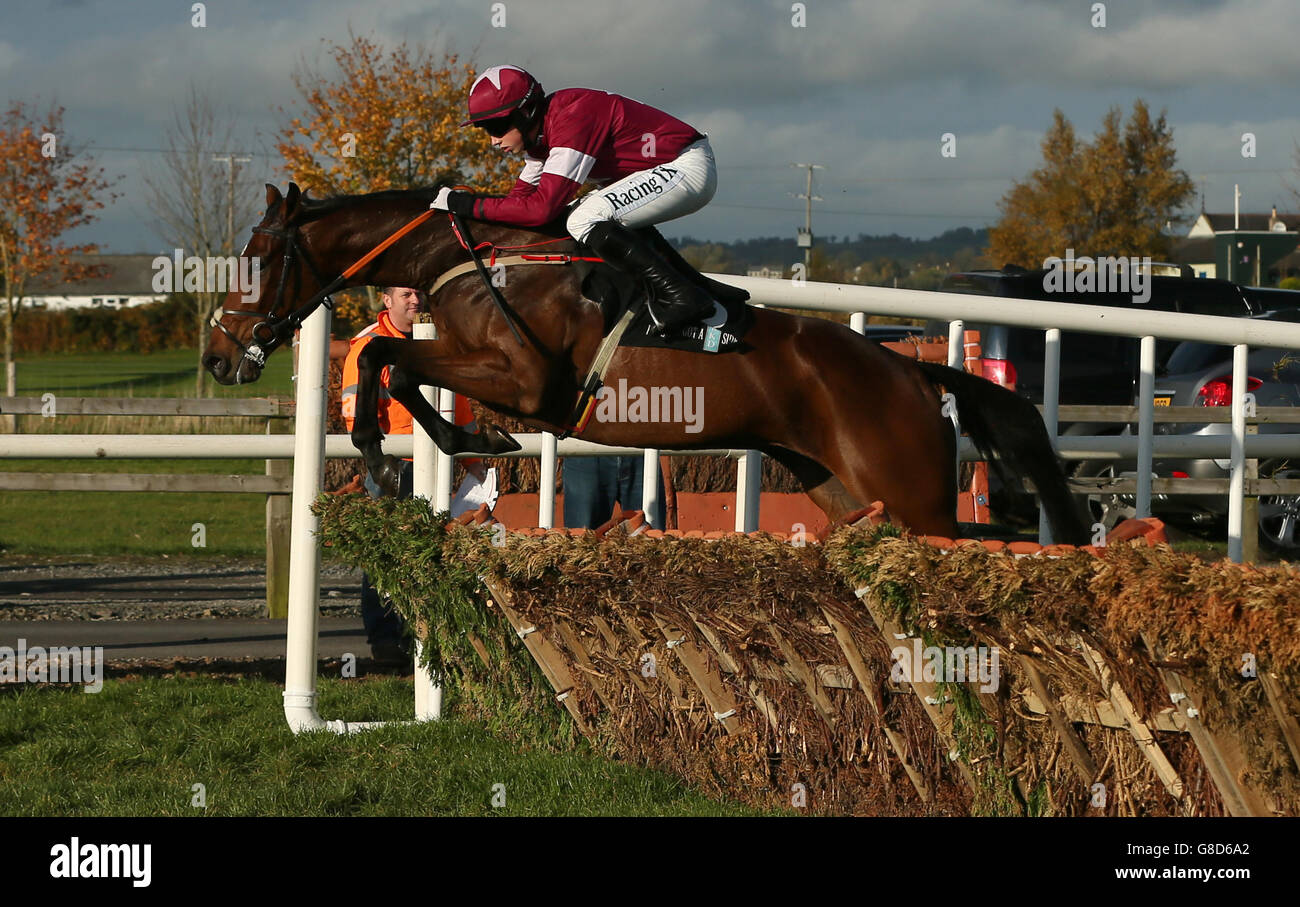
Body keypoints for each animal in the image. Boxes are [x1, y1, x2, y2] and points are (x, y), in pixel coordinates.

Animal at [202, 180, 1092, 540]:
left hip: (913, 496)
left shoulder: (528, 380)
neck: (469, 255)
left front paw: (413, 453)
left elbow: (392, 354)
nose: (215, 355)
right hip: (841, 490)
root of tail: (912, 371)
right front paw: (432, 446)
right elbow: (391, 359)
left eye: (256, 258)